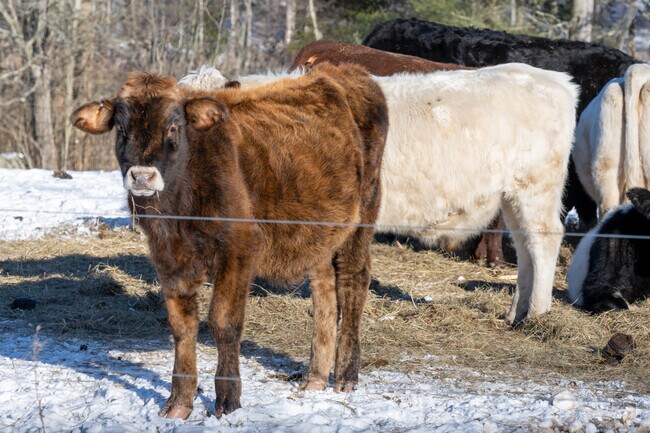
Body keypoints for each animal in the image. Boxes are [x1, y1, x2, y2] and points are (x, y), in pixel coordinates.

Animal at [69, 63, 388, 419]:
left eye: (173, 127)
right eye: (121, 128)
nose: (142, 176)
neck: (180, 209)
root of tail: (342, 70)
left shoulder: (239, 251)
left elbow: (223, 322)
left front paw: (228, 400)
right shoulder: (168, 256)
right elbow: (181, 326)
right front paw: (179, 403)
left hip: (362, 216)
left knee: (352, 283)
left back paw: (345, 376)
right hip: (320, 230)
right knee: (324, 291)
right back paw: (316, 377)